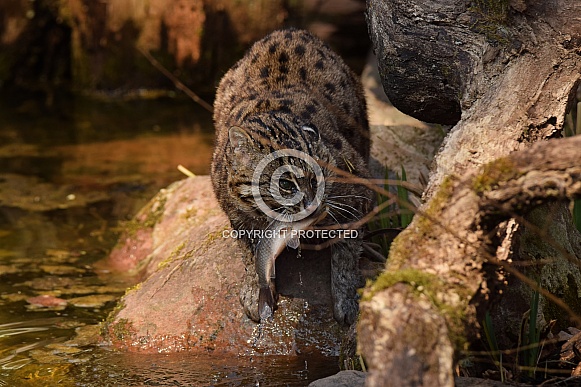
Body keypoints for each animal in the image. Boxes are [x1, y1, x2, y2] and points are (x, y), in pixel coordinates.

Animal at [211, 28, 370, 324]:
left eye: (317, 179)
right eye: (284, 183)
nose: (314, 207)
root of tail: (290, 30)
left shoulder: (359, 189)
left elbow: (346, 251)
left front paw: (346, 300)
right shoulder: (235, 213)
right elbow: (249, 253)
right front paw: (255, 292)